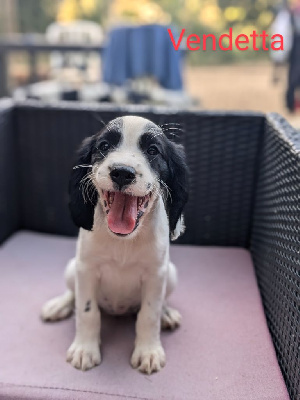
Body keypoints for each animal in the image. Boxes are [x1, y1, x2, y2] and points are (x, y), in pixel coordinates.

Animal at [41, 115, 189, 376]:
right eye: (104, 146)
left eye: (153, 150)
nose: (122, 172)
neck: (123, 242)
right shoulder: (86, 269)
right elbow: (87, 311)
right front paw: (85, 349)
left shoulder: (156, 274)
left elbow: (149, 314)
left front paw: (148, 351)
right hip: (72, 269)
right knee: (73, 294)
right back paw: (59, 305)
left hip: (170, 274)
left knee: (159, 303)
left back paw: (167, 313)